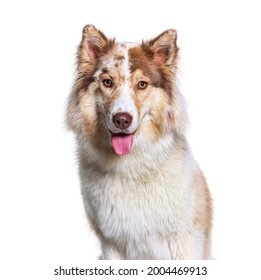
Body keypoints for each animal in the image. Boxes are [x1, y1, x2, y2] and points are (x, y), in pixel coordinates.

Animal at [65, 25, 211, 260]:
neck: (131, 166)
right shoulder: (111, 243)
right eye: (107, 82)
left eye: (142, 84)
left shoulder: (185, 240)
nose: (122, 119)